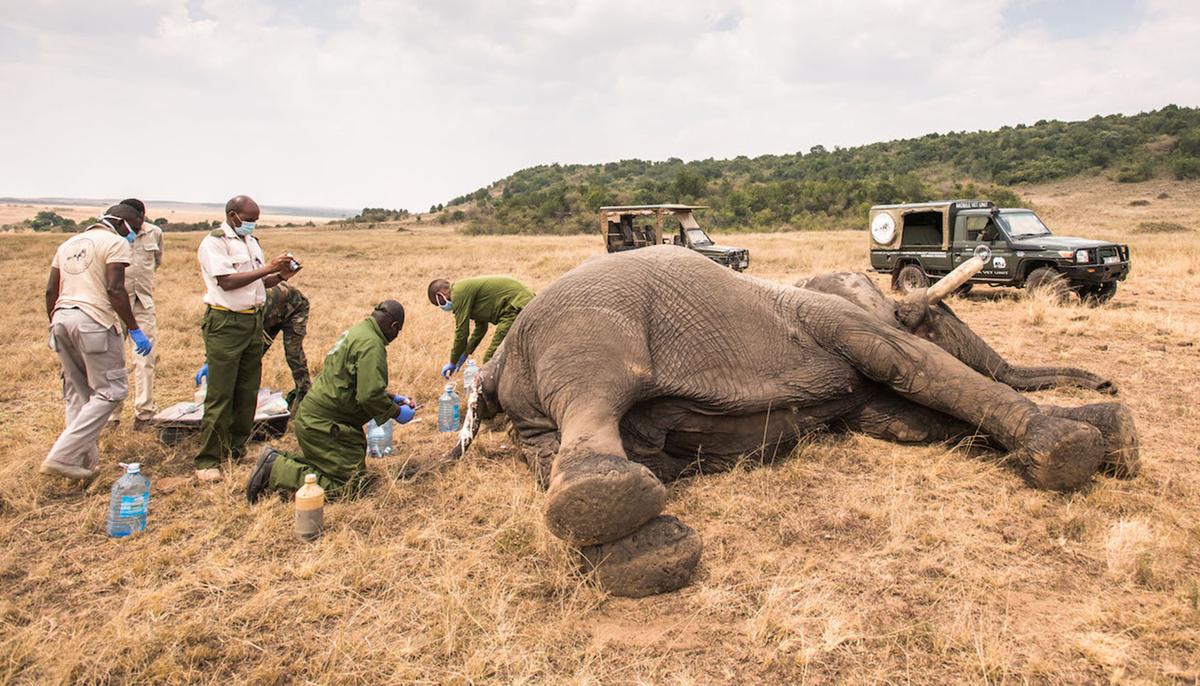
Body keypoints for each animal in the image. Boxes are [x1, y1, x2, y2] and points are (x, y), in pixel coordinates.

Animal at [453, 245, 1139, 598]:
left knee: (558, 454)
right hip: (590, 322)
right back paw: (612, 505)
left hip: (533, 417)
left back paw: (648, 556)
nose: (1109, 382)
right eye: (930, 320)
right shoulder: (832, 321)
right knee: (593, 394)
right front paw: (1076, 446)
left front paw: (1115, 436)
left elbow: (911, 422)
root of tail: (501, 361)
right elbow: (912, 366)